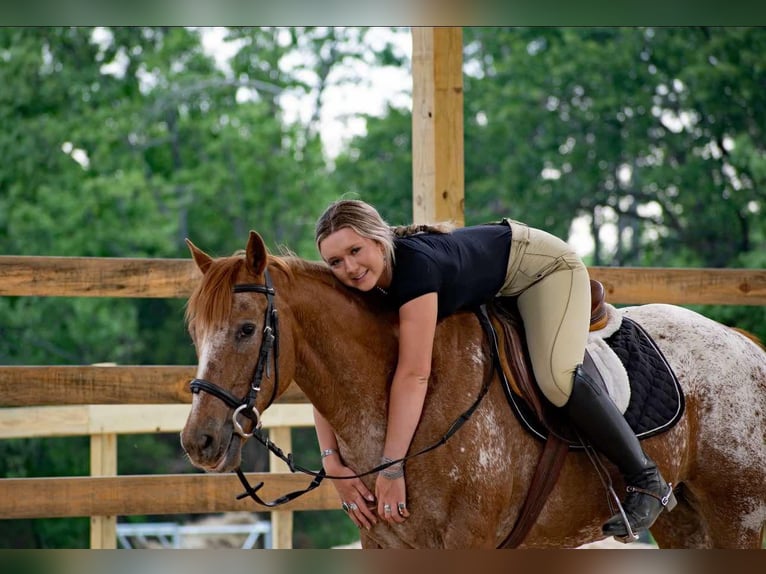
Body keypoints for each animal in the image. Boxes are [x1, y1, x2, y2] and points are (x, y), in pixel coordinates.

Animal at [180, 230, 766, 549]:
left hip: (738, 515)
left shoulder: (469, 537)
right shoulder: (383, 542)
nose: (197, 442)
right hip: (686, 520)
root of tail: (743, 344)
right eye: (195, 332)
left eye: (246, 330)